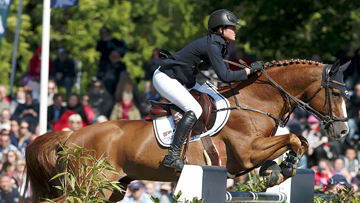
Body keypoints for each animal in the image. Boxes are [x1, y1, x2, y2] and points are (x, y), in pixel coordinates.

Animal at [24, 59, 348, 202]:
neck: (256, 101)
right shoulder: (246, 152)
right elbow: (293, 137)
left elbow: (298, 140)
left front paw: (277, 171)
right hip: (91, 186)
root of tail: (71, 136)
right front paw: (282, 169)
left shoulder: (255, 150)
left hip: (112, 189)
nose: (343, 132)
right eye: (335, 93)